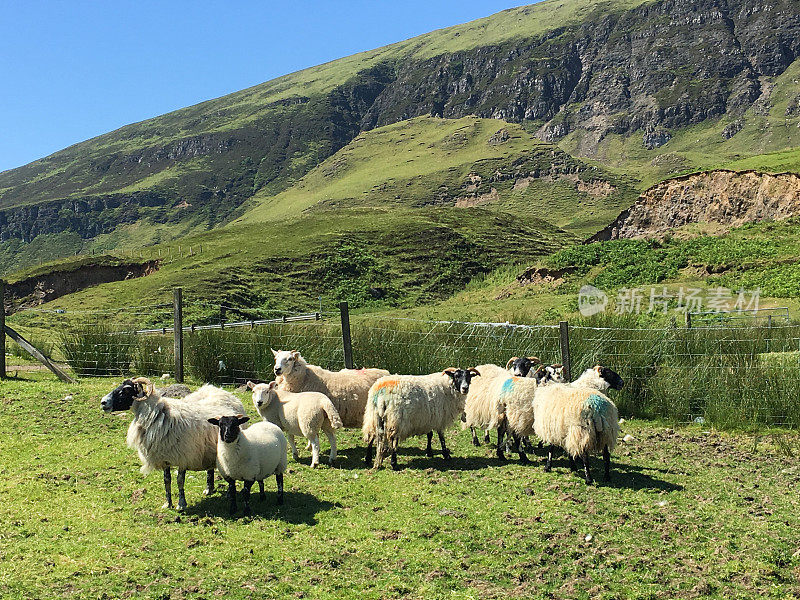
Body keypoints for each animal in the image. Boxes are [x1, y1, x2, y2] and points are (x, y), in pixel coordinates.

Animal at [101, 378, 244, 508]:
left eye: (126, 390)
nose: (103, 402)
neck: (159, 414)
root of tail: (218, 390)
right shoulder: (164, 457)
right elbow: (167, 481)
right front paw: (168, 503)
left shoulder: (183, 457)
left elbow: (180, 481)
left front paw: (181, 504)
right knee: (210, 469)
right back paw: (209, 489)